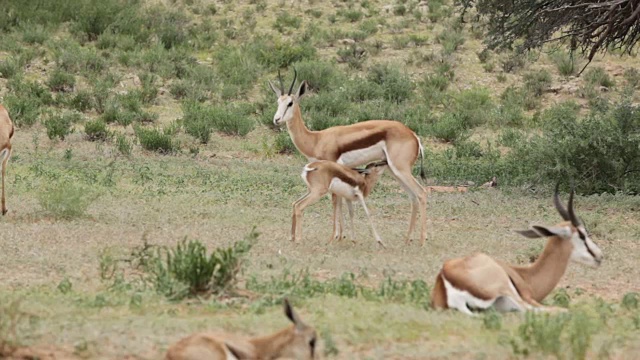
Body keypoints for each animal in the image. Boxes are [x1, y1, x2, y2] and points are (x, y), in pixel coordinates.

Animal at [270, 70, 430, 245]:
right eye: (278, 101)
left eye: (290, 103)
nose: (276, 119)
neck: (316, 139)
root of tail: (413, 135)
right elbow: (341, 200)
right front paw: (341, 236)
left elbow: (335, 200)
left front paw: (335, 236)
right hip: (395, 171)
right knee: (413, 197)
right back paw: (408, 239)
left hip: (401, 170)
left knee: (422, 193)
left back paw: (422, 240)